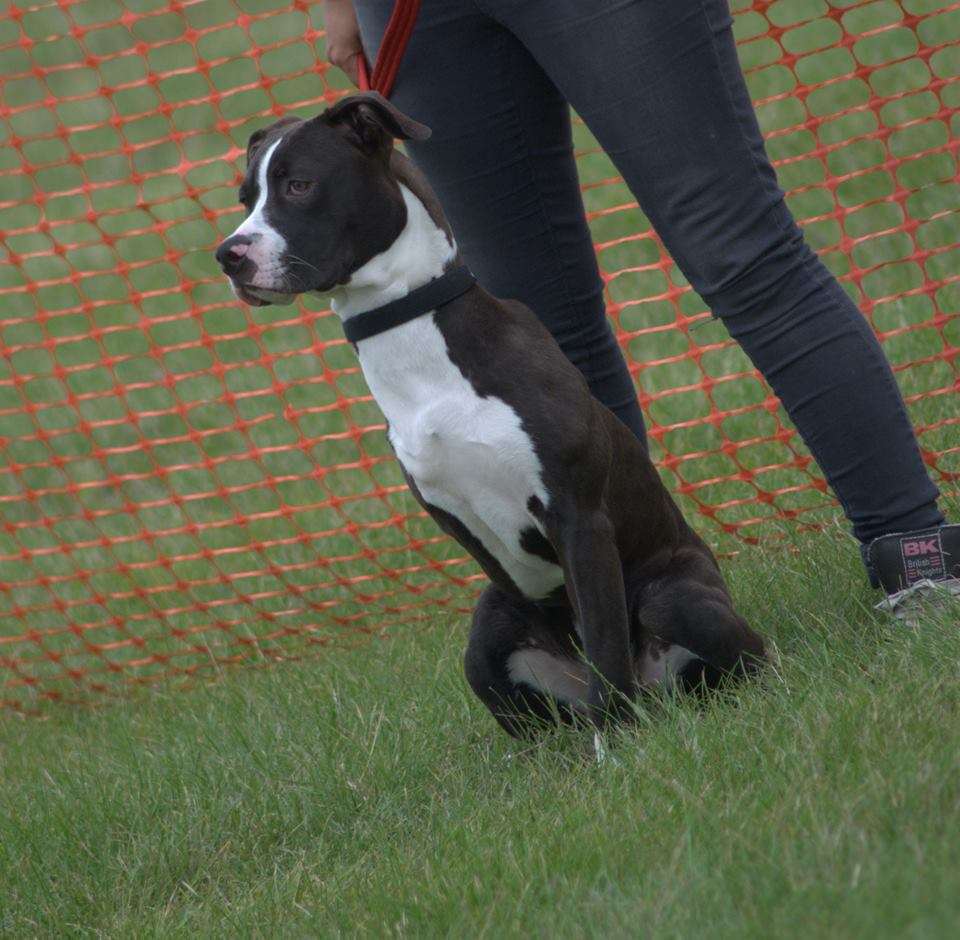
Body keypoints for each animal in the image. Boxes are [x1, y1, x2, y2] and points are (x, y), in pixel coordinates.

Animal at [216, 93, 764, 736]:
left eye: (299, 185)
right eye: (245, 198)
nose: (228, 256)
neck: (415, 329)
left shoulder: (580, 520)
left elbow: (605, 643)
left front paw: (616, 745)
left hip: (673, 600)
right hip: (489, 629)